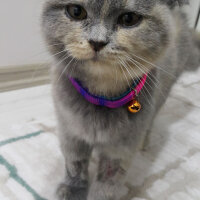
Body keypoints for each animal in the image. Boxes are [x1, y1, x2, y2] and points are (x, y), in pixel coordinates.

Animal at [41, 0, 199, 199]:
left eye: (129, 19)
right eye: (76, 11)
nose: (97, 42)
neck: (101, 96)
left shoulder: (121, 147)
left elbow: (107, 183)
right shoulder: (70, 130)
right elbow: (75, 163)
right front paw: (73, 188)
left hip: (162, 94)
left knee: (151, 119)